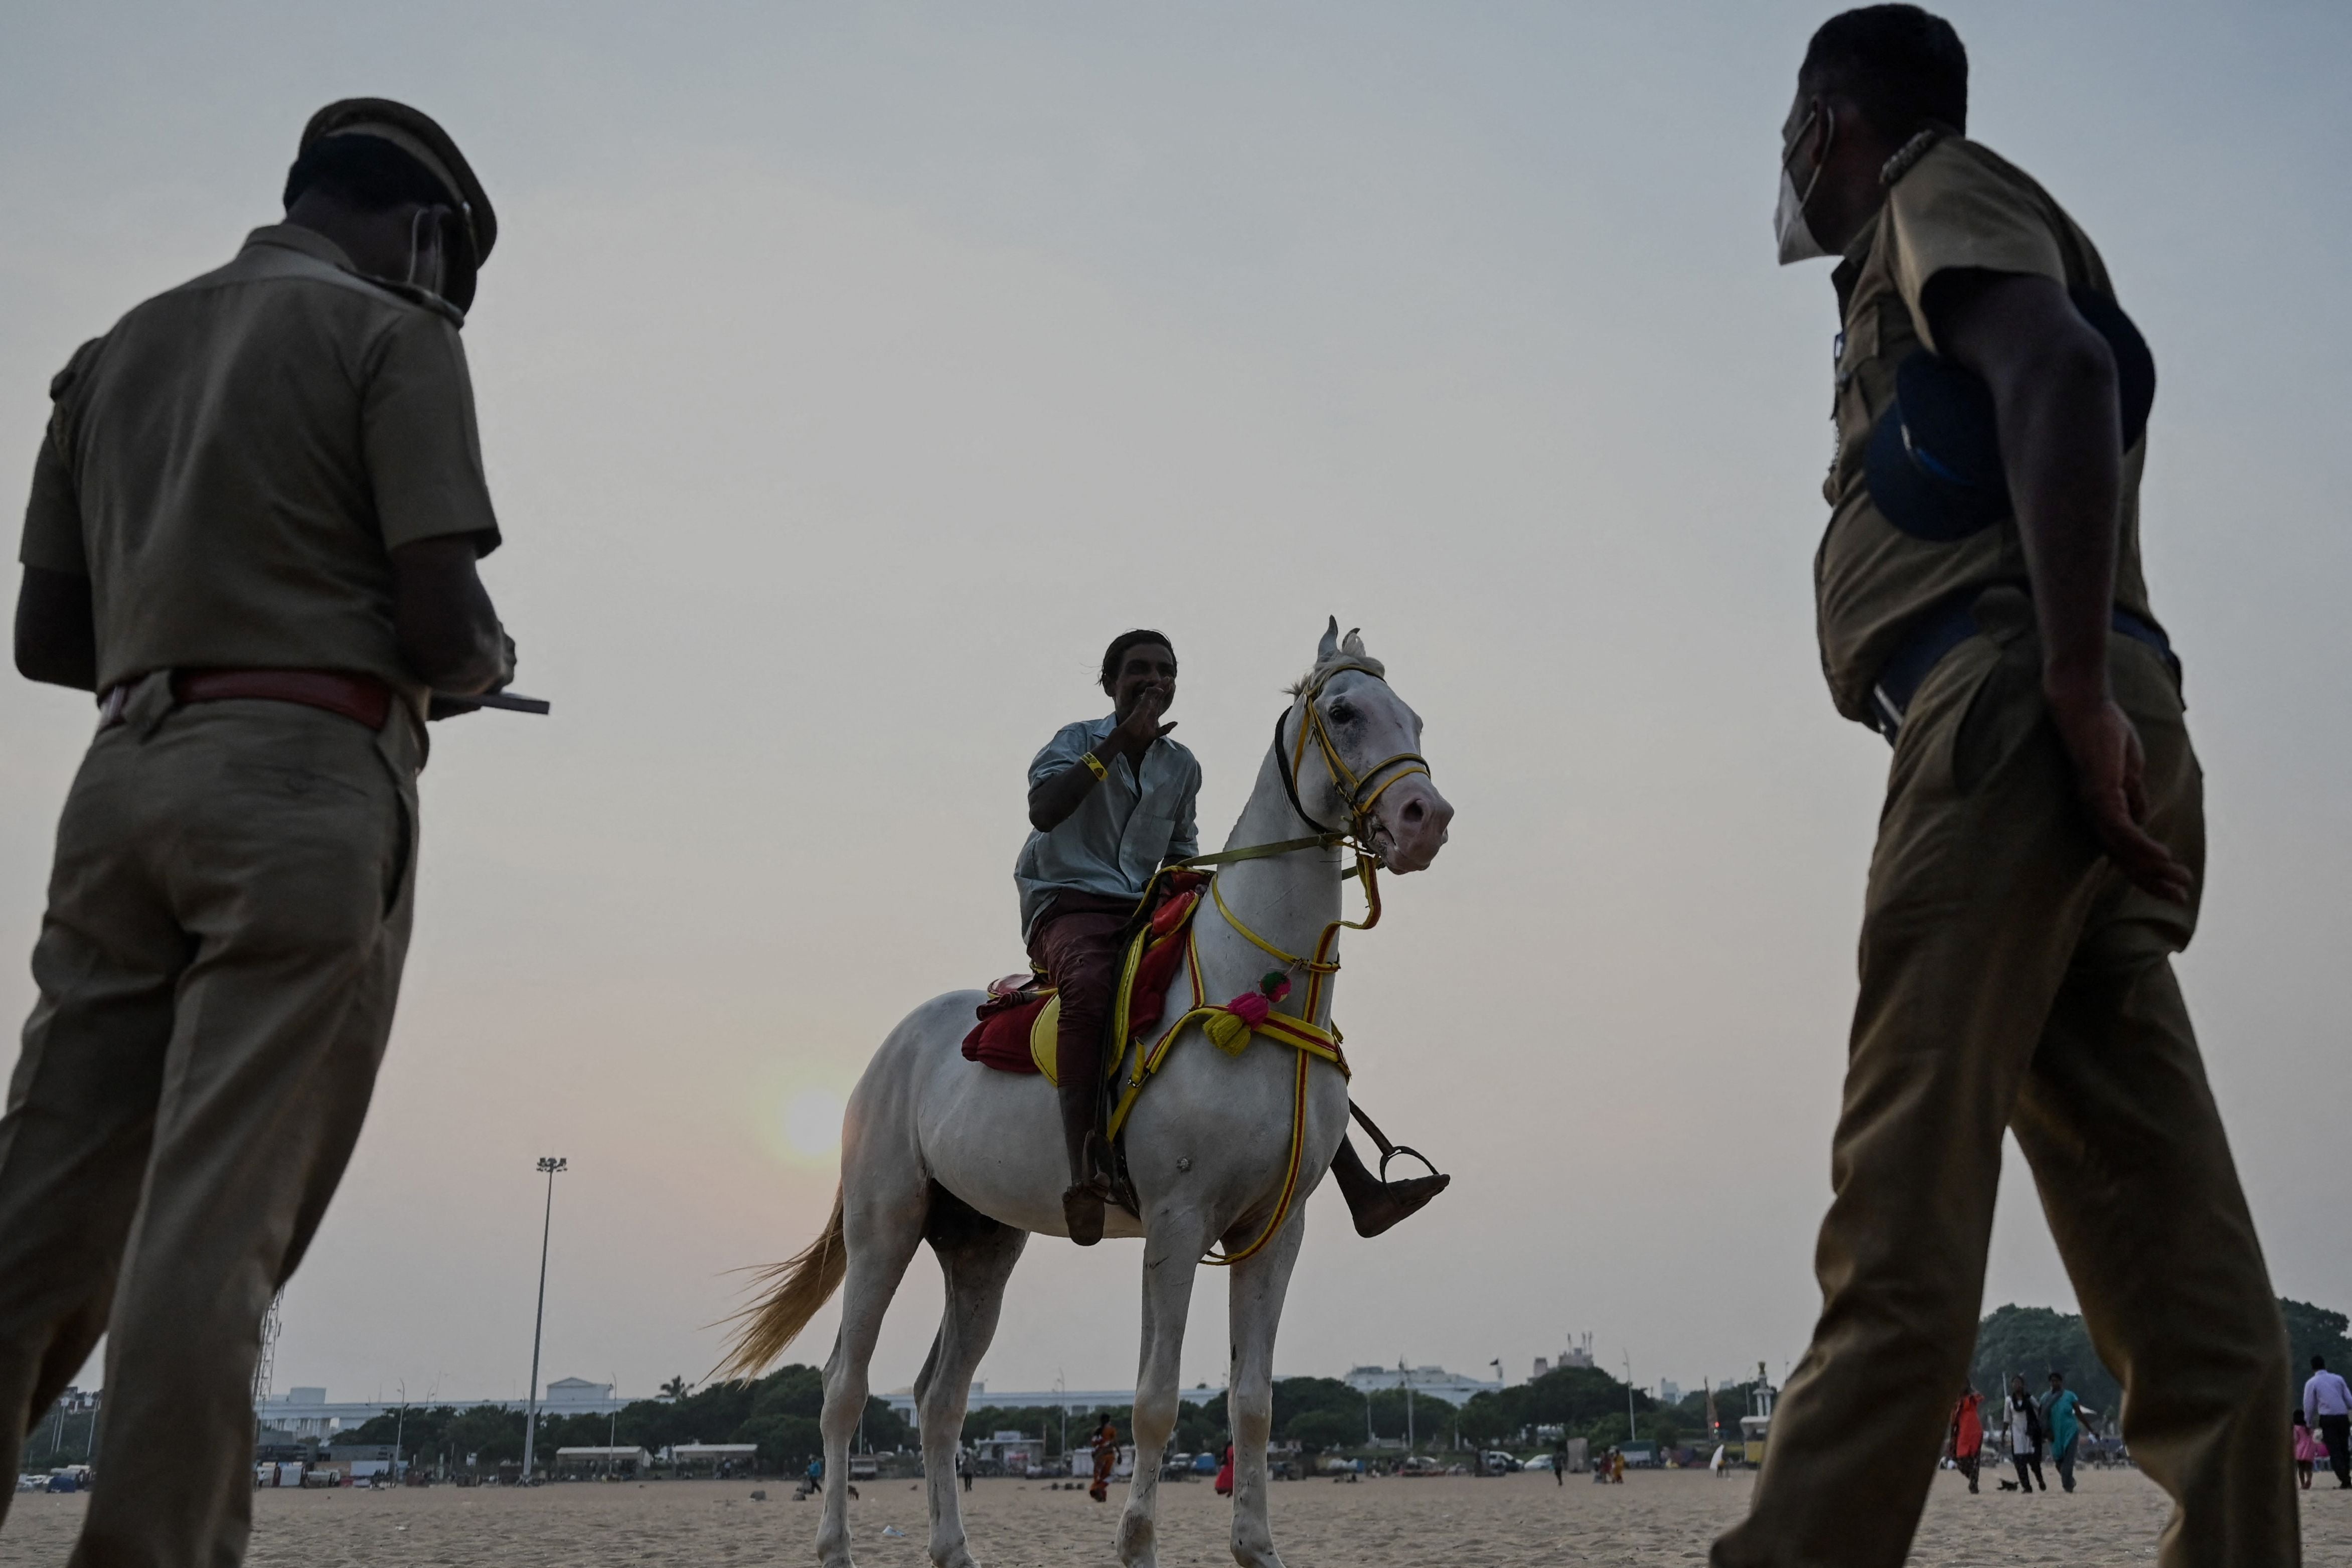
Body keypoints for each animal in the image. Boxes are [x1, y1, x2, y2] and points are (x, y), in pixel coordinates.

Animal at [715, 620, 1449, 1560]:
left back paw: (952, 1547)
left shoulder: (1272, 1230)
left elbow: (1252, 1404)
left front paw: (1256, 1547)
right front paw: (1135, 1543)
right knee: (846, 1384)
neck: (1253, 987)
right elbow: (1155, 1402)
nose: (1423, 818)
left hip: (980, 1244)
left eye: (1413, 716)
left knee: (939, 1396)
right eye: (1347, 711)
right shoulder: (1175, 1221)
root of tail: (886, 1056)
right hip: (884, 1224)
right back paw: (836, 1545)